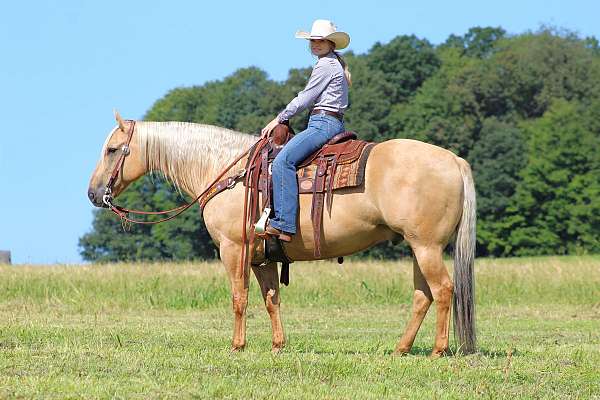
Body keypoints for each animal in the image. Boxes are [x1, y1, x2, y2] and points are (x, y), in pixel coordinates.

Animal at [86, 113, 476, 356]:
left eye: (112, 150)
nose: (93, 193)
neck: (229, 173)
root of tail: (454, 161)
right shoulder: (263, 258)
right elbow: (271, 298)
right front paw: (277, 345)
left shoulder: (234, 249)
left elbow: (239, 298)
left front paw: (237, 346)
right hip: (418, 247)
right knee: (422, 296)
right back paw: (401, 348)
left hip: (426, 247)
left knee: (443, 290)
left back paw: (438, 350)